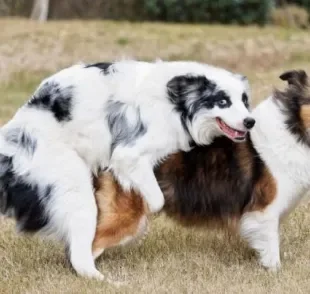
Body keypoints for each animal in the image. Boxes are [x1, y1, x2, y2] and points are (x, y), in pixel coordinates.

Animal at [0, 60, 253, 280]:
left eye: (244, 101)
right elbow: (156, 199)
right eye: (222, 101)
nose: (250, 122)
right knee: (79, 252)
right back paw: (103, 279)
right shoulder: (129, 154)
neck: (176, 102)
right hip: (71, 183)